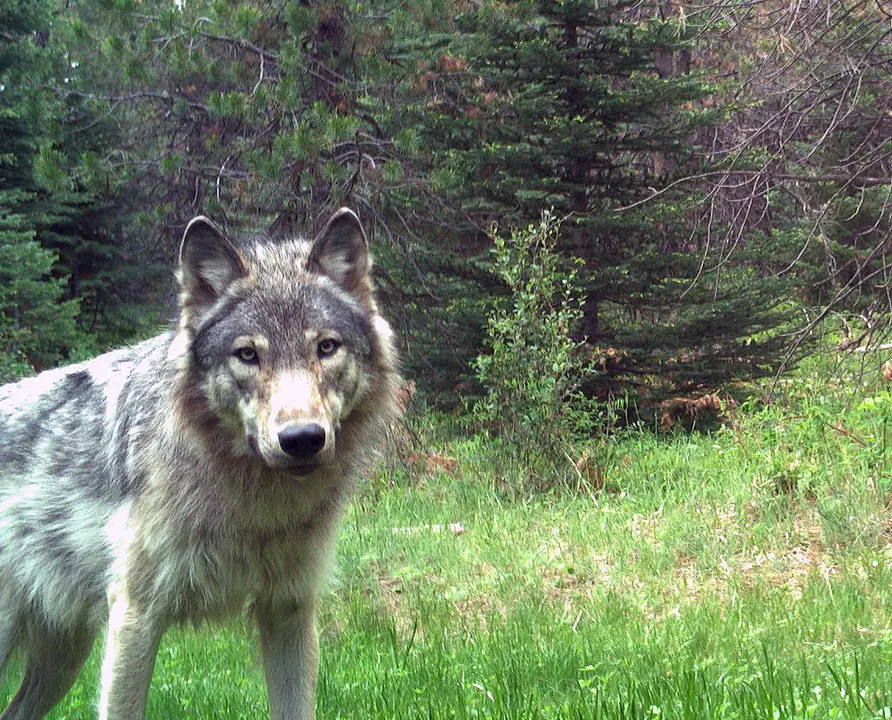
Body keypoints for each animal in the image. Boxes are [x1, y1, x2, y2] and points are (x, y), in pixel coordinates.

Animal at [0, 208, 400, 720]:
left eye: (326, 347)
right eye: (247, 354)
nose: (302, 440)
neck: (253, 506)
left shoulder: (289, 608)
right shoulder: (136, 615)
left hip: (62, 659)